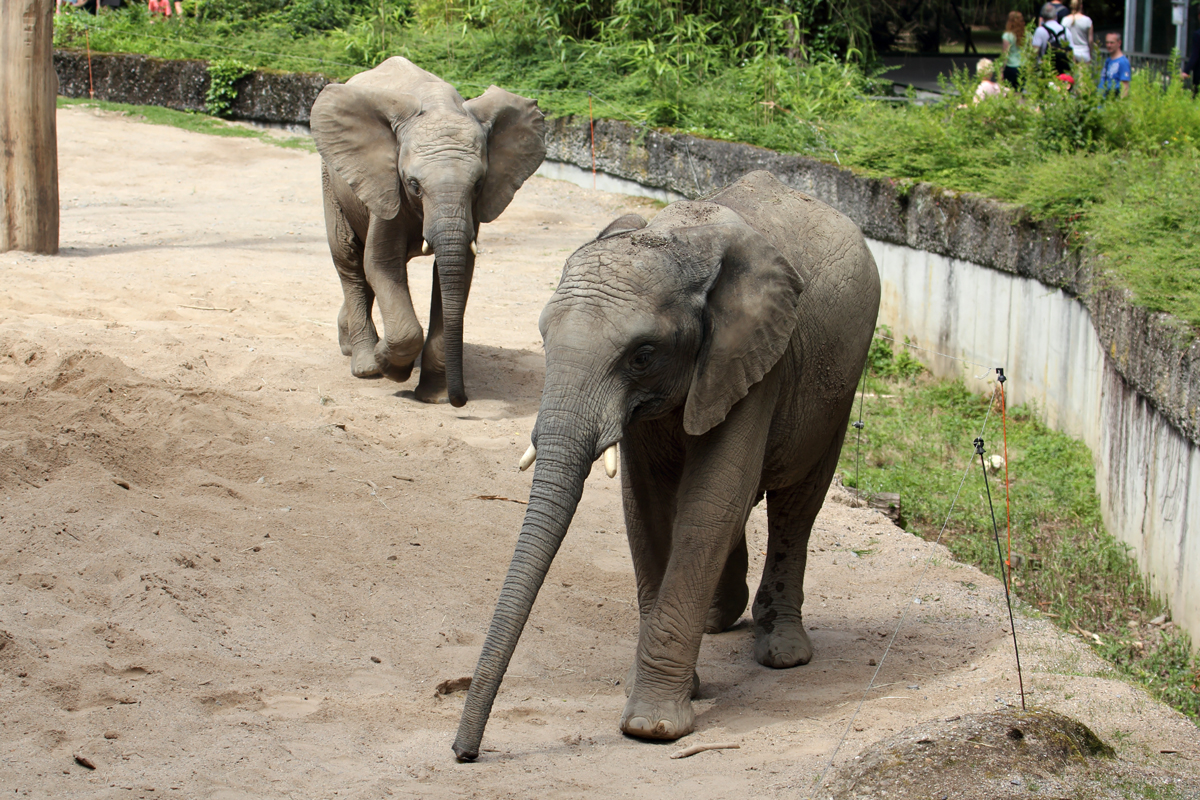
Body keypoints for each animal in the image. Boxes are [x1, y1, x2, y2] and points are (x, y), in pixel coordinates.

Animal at [309, 57, 544, 407]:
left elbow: (457, 274)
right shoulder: (387, 184)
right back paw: (364, 364)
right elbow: (380, 263)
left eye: (478, 184)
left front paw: (434, 396)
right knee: (349, 259)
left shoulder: (471, 210)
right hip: (332, 177)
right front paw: (389, 365)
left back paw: (350, 343)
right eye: (413, 185)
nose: (461, 400)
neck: (437, 104)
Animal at [451, 169, 883, 758]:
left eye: (642, 355)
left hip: (840, 382)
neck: (678, 238)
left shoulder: (756, 359)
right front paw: (671, 692)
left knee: (796, 502)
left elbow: (711, 499)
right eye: (542, 337)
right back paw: (720, 619)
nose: (464, 753)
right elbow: (648, 504)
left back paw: (783, 652)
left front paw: (651, 727)